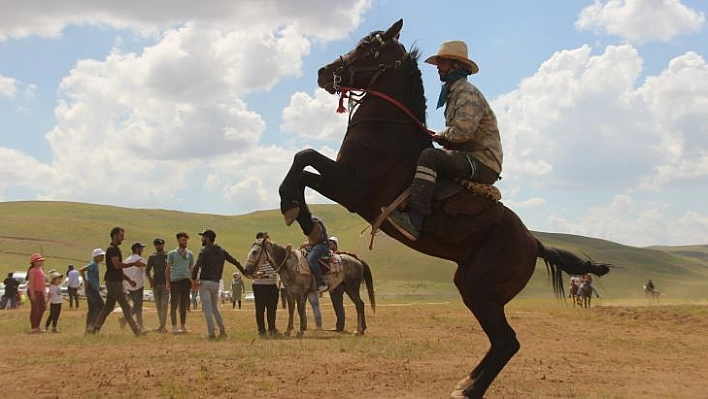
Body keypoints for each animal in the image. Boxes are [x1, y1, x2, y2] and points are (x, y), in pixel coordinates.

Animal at [276, 19, 608, 399]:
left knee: (507, 341)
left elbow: (304, 160)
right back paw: (467, 382)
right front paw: (302, 216)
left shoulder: (351, 188)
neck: (388, 130)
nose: (323, 72)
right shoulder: (346, 186)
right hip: (471, 288)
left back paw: (469, 389)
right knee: (501, 341)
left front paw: (295, 211)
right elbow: (304, 163)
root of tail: (532, 243)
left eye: (369, 49)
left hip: (481, 291)